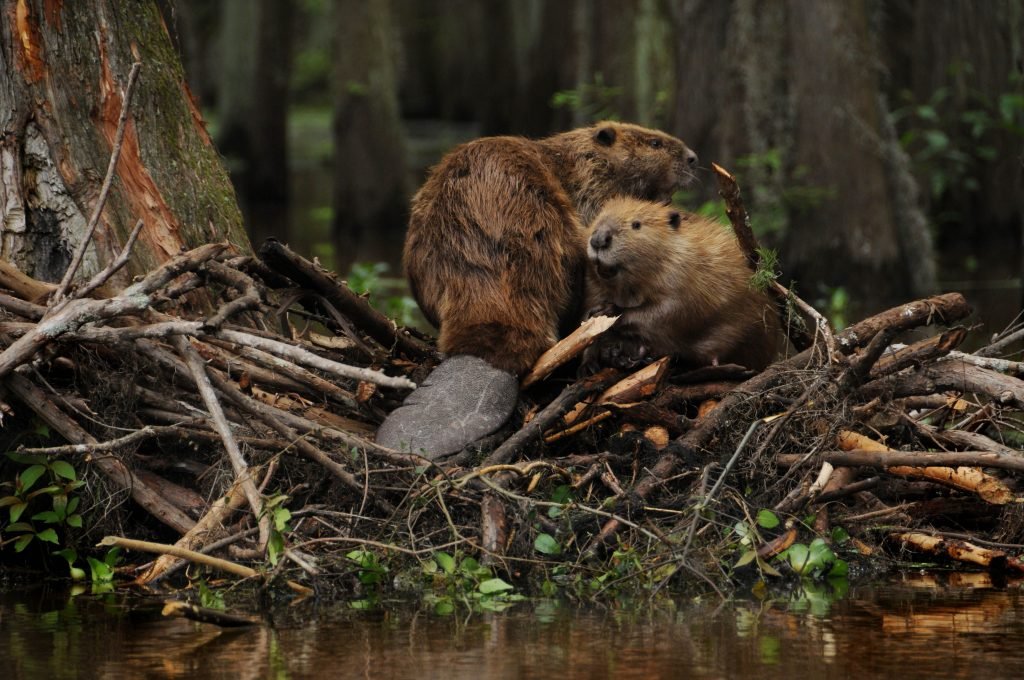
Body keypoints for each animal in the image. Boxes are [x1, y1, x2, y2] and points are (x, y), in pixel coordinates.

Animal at [585, 196, 774, 372]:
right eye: (597, 218)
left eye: (636, 224)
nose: (599, 239)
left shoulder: (684, 274)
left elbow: (671, 310)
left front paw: (608, 311)